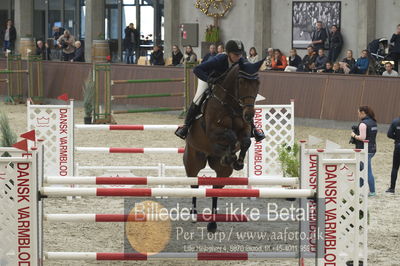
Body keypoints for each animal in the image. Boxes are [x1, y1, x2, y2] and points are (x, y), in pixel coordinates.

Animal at [184, 60, 266, 233]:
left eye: (257, 83)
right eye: (241, 82)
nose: (249, 114)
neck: (232, 104)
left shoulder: (246, 129)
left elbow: (246, 141)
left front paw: (237, 161)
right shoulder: (212, 130)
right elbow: (231, 136)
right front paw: (230, 155)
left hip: (223, 172)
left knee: (215, 188)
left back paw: (212, 223)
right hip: (193, 160)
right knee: (194, 183)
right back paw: (193, 214)